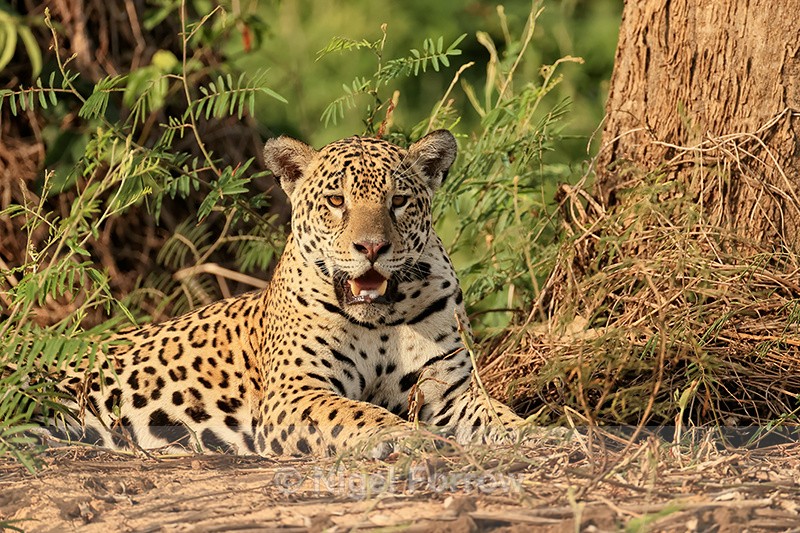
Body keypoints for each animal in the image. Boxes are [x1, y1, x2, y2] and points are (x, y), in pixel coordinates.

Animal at [55, 130, 526, 457]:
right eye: (336, 200)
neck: (381, 321)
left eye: (399, 201)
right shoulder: (295, 391)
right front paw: (400, 434)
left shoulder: (448, 392)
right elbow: (354, 410)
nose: (372, 247)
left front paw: (531, 431)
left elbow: (495, 412)